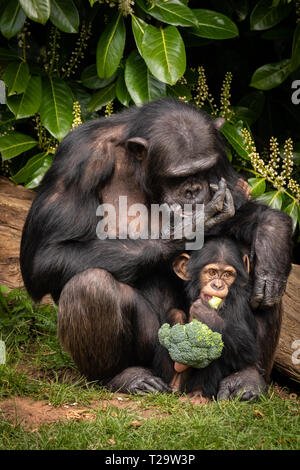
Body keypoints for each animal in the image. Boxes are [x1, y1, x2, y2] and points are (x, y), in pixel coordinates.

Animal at [155, 237, 264, 402]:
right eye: (212, 272)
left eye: (227, 275)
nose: (218, 285)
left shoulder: (238, 304)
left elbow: (248, 352)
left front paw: (207, 315)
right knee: (175, 313)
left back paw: (198, 395)